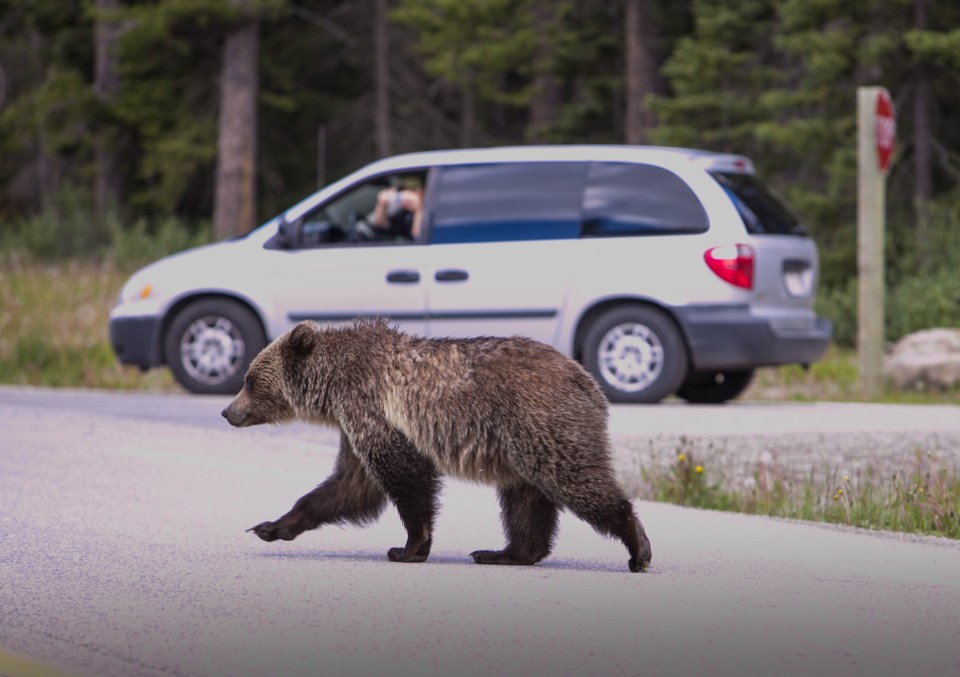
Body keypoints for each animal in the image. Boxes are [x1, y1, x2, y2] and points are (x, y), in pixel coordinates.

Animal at [221, 320, 652, 572]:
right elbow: (349, 486)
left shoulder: (374, 409)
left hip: (539, 422)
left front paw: (408, 547)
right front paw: (271, 526)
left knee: (575, 480)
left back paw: (638, 548)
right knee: (525, 502)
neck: (332, 386)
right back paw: (503, 553)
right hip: (520, 446)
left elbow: (404, 477)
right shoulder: (355, 422)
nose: (227, 412)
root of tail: (587, 380)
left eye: (249, 380)